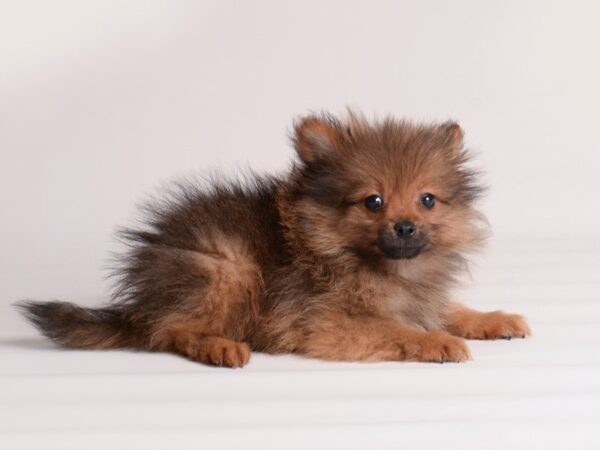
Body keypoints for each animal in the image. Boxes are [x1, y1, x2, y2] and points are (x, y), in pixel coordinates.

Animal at [17, 111, 528, 366]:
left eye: (427, 200)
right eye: (373, 201)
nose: (405, 227)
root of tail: (139, 303)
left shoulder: (420, 297)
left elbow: (449, 309)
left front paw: (493, 319)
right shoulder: (327, 323)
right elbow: (398, 329)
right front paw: (437, 342)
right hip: (226, 265)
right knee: (170, 331)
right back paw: (218, 347)